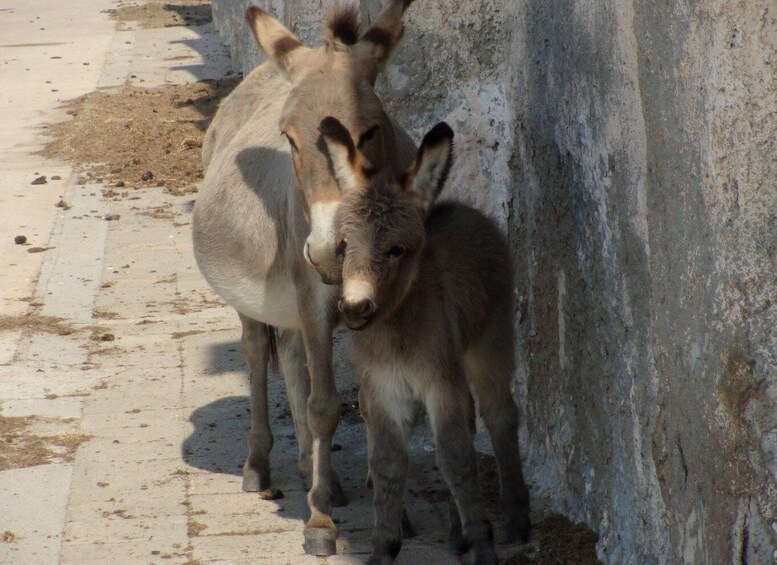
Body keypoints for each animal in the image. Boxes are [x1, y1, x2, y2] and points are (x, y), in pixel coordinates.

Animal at [318, 118, 532, 560]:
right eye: (344, 246)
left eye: (396, 250)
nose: (354, 309)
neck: (396, 329)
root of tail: (467, 211)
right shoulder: (383, 388)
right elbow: (387, 463)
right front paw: (384, 548)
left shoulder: (437, 381)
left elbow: (455, 458)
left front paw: (483, 549)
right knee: (470, 418)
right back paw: (457, 530)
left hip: (489, 341)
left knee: (499, 414)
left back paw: (515, 519)